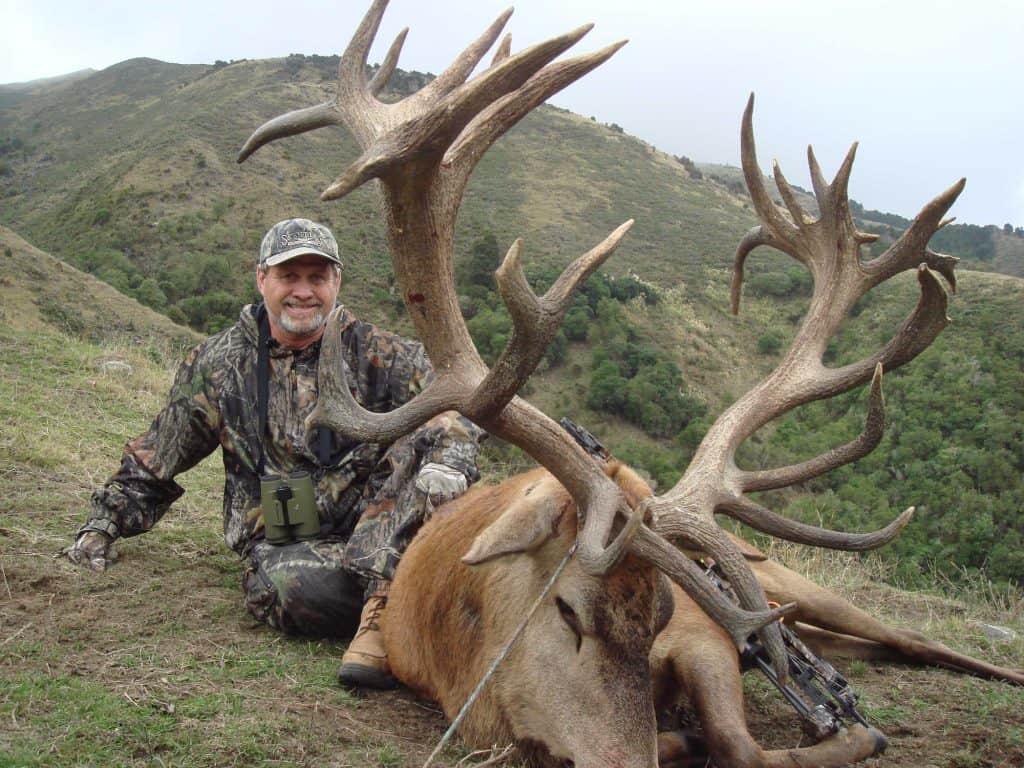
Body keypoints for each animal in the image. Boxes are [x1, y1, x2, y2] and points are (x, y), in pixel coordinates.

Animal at [237, 2, 1022, 766]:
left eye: (663, 613)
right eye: (566, 610)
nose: (625, 756)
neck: (466, 673)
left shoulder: (708, 639)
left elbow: (743, 744)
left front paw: (830, 732)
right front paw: (704, 735)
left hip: (798, 584)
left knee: (913, 638)